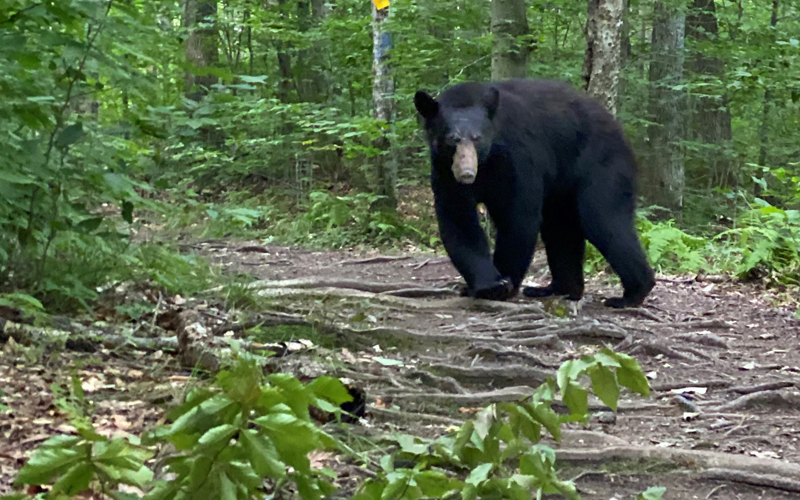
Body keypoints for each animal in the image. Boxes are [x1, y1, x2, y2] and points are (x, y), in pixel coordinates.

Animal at [416, 78, 652, 308]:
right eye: (451, 139)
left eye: (477, 138)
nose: (466, 172)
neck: (486, 163)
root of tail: (618, 129)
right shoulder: (444, 172)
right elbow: (458, 220)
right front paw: (485, 285)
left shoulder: (517, 159)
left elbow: (518, 216)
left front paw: (504, 283)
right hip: (561, 185)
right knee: (560, 227)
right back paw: (558, 288)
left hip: (600, 163)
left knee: (602, 218)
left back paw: (632, 293)